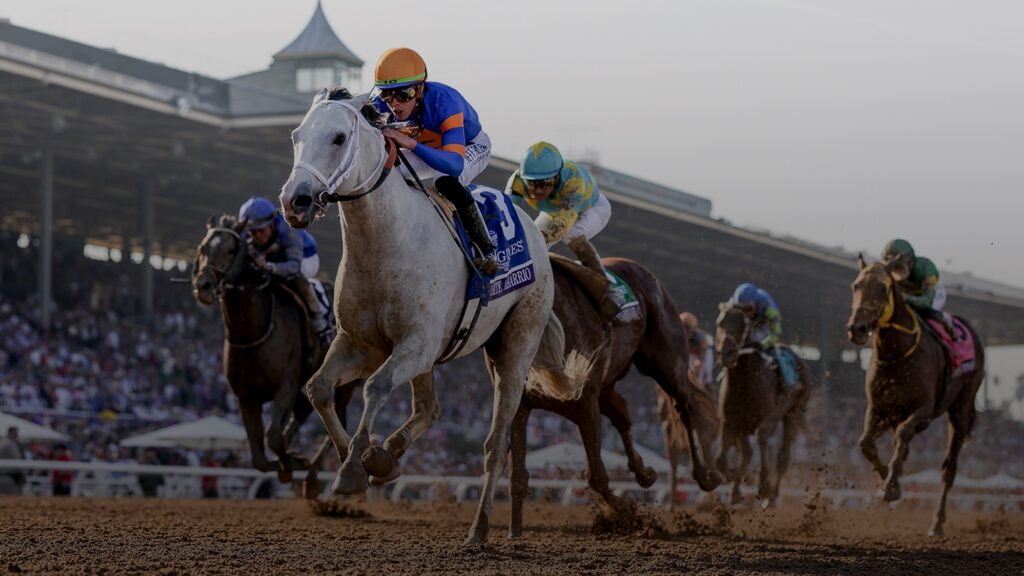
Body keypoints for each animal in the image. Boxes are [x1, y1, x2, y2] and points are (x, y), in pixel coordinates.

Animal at [193, 215, 358, 494]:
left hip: (345, 382)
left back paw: (314, 475)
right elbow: (259, 457)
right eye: (203, 249)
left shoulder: (285, 388)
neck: (253, 334)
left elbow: (272, 436)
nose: (202, 286)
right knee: (303, 409)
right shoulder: (246, 398)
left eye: (230, 250)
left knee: (338, 419)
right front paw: (288, 463)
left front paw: (293, 461)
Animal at [276, 88, 573, 541]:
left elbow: (376, 387)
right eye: (297, 135)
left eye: (339, 138)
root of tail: (538, 237)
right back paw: (391, 453)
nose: (295, 201)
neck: (385, 242)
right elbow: (318, 389)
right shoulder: (360, 343)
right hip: (440, 355)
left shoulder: (415, 343)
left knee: (496, 442)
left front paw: (354, 467)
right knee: (429, 410)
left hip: (516, 344)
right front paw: (367, 462)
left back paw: (480, 528)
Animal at [505, 258, 720, 537]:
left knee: (686, 408)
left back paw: (706, 475)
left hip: (667, 365)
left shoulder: (585, 401)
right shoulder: (521, 405)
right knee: (623, 416)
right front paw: (513, 531)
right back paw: (644, 473)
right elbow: (517, 476)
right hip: (608, 386)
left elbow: (597, 475)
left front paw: (625, 511)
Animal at [716, 301, 811, 506]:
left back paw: (772, 497)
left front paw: (763, 486)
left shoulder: (768, 417)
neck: (745, 380)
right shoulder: (730, 420)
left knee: (782, 457)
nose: (726, 353)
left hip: (794, 414)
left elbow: (762, 439)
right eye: (721, 323)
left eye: (740, 325)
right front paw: (734, 477)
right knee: (747, 452)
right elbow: (723, 459)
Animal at [843, 255, 987, 532]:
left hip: (961, 409)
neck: (897, 353)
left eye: (882, 288)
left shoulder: (924, 411)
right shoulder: (879, 409)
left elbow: (903, 435)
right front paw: (887, 482)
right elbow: (866, 443)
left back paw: (937, 523)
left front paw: (890, 486)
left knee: (949, 468)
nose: (857, 328)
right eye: (856, 285)